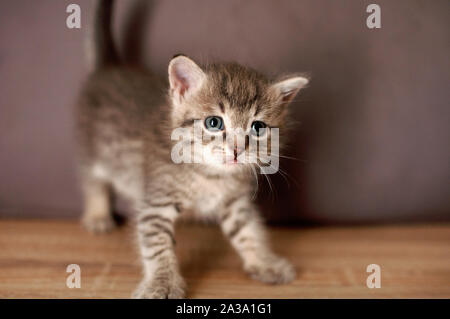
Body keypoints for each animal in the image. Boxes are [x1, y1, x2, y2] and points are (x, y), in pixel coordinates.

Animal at [77, 0, 310, 300]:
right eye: (214, 123)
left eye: (258, 127)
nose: (237, 149)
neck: (210, 176)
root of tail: (110, 68)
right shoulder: (156, 202)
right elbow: (157, 246)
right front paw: (162, 283)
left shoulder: (234, 202)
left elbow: (249, 231)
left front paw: (264, 261)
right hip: (91, 150)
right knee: (91, 180)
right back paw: (97, 215)